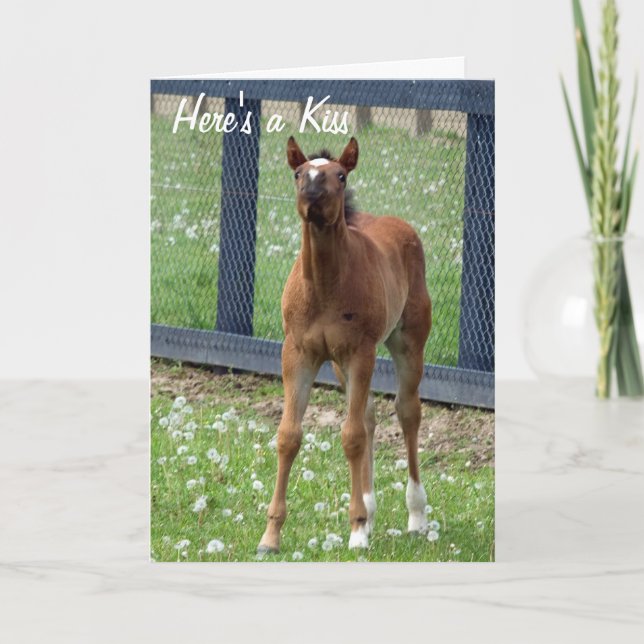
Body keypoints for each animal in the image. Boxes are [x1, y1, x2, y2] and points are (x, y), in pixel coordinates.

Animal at [257, 136, 431, 552]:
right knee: (368, 416)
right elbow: (288, 436)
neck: (324, 285)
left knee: (407, 411)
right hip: (338, 364)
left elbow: (350, 436)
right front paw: (270, 536)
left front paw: (355, 532)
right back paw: (369, 511)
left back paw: (416, 515)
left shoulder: (360, 352)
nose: (312, 196)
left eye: (340, 175)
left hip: (407, 342)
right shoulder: (298, 354)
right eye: (298, 173)